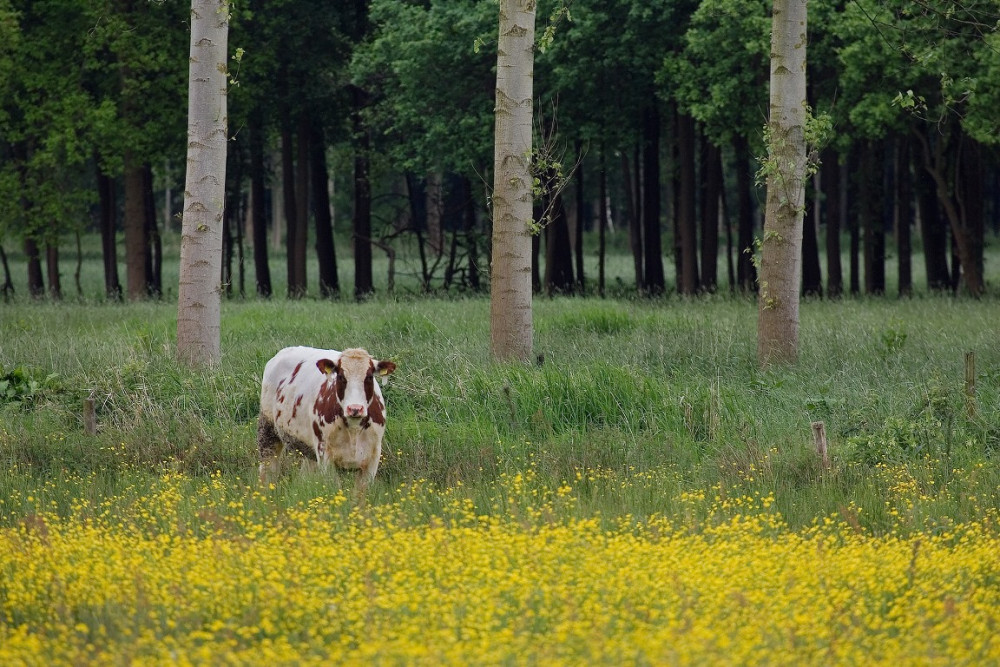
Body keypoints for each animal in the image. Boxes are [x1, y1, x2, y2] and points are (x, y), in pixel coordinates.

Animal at [256, 350, 396, 486]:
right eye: (341, 377)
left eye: (369, 377)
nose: (355, 408)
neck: (353, 429)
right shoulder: (325, 455)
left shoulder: (372, 458)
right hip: (267, 430)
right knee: (268, 471)